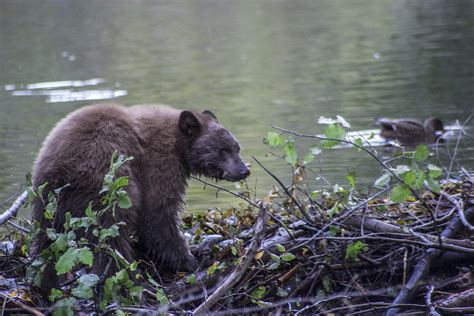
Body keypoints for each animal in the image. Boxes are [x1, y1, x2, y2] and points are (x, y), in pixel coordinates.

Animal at [31, 103, 250, 288]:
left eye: (236, 147)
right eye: (222, 150)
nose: (244, 170)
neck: (179, 145)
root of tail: (61, 170)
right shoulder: (158, 163)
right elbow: (158, 214)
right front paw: (193, 260)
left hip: (47, 202)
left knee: (45, 243)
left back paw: (45, 281)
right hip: (107, 184)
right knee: (112, 232)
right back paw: (127, 275)